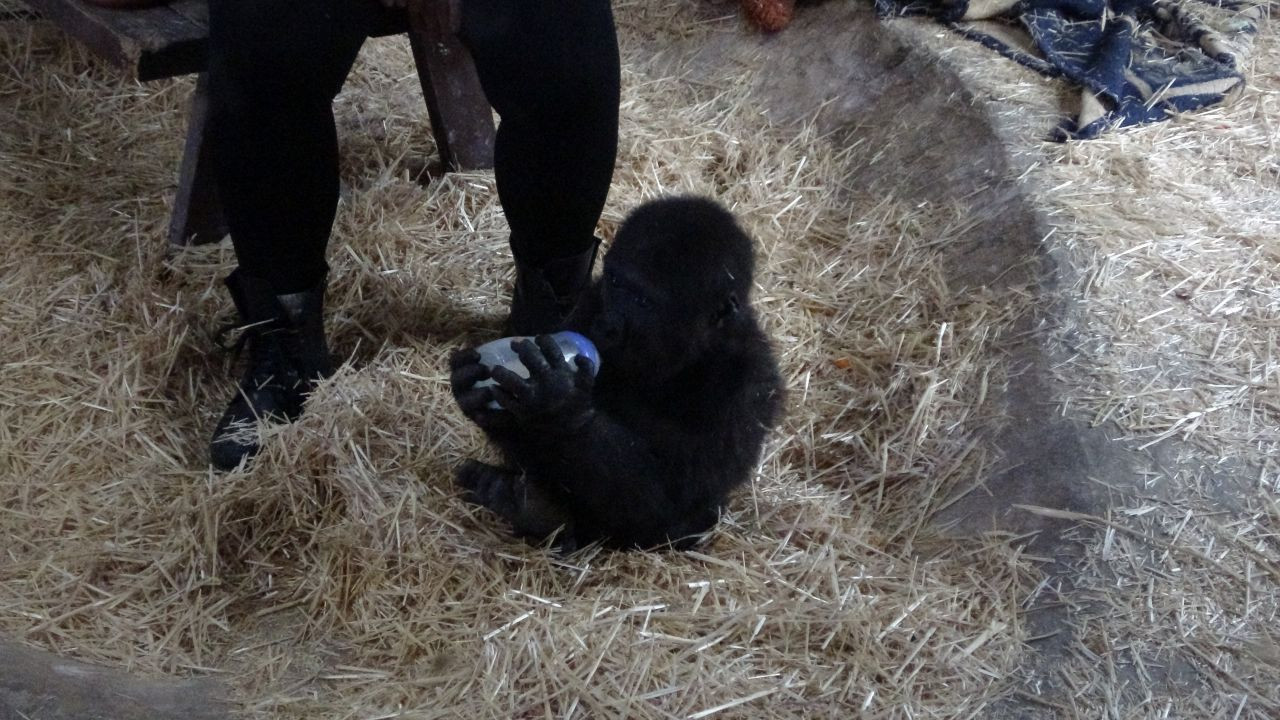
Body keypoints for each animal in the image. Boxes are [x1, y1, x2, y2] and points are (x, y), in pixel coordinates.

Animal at [455, 196, 783, 548]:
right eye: (615, 283)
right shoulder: (592, 300)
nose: (608, 325)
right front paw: (481, 397)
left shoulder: (748, 387)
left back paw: (534, 508)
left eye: (642, 301)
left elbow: (670, 500)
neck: (691, 353)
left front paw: (558, 403)